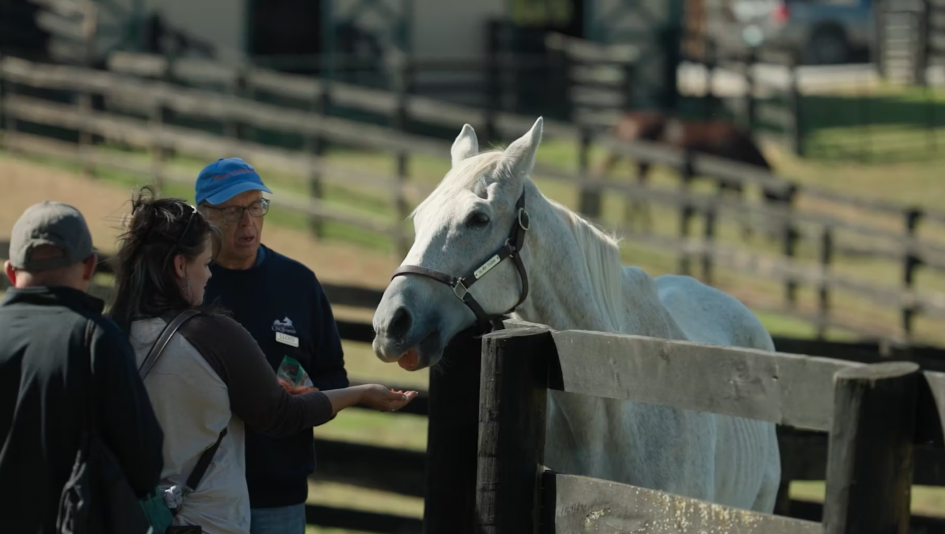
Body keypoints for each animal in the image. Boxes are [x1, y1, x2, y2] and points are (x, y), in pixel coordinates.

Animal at [600, 110, 790, 239]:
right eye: (776, 201)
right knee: (637, 191)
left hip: (640, 164)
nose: (775, 236)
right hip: (641, 163)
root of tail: (624, 120)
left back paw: (635, 222)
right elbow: (735, 196)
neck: (740, 143)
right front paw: (746, 231)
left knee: (634, 190)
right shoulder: (725, 178)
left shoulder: (727, 178)